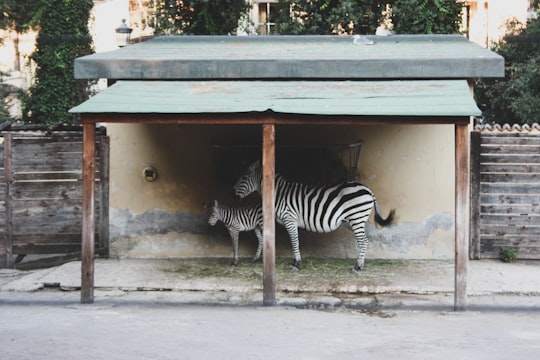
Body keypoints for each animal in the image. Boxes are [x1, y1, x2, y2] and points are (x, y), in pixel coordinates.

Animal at [234, 161, 394, 272]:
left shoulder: (289, 218)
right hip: (355, 220)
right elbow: (294, 241)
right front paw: (295, 262)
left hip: (356, 217)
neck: (278, 193)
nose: (233, 193)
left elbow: (294, 241)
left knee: (363, 241)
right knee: (364, 240)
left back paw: (358, 267)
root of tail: (368, 190)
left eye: (244, 177)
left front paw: (296, 264)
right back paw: (360, 265)